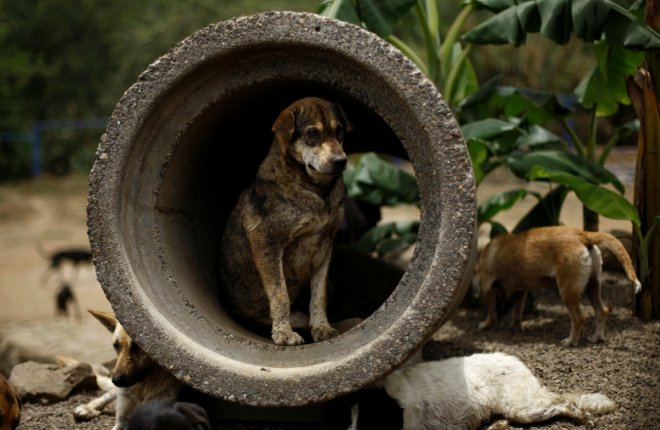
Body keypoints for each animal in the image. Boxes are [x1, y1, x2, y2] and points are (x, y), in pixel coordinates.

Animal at [217, 97, 354, 346]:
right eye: (312, 133)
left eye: (339, 130)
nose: (341, 161)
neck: (318, 191)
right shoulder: (266, 243)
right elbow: (280, 293)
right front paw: (283, 333)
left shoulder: (325, 246)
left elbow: (319, 295)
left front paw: (321, 327)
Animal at [476, 225, 640, 346]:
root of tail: (582, 234)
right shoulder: (521, 291)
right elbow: (517, 312)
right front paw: (516, 327)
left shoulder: (486, 287)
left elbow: (491, 312)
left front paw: (486, 325)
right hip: (592, 287)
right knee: (601, 311)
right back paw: (597, 338)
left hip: (567, 292)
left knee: (579, 318)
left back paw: (571, 342)